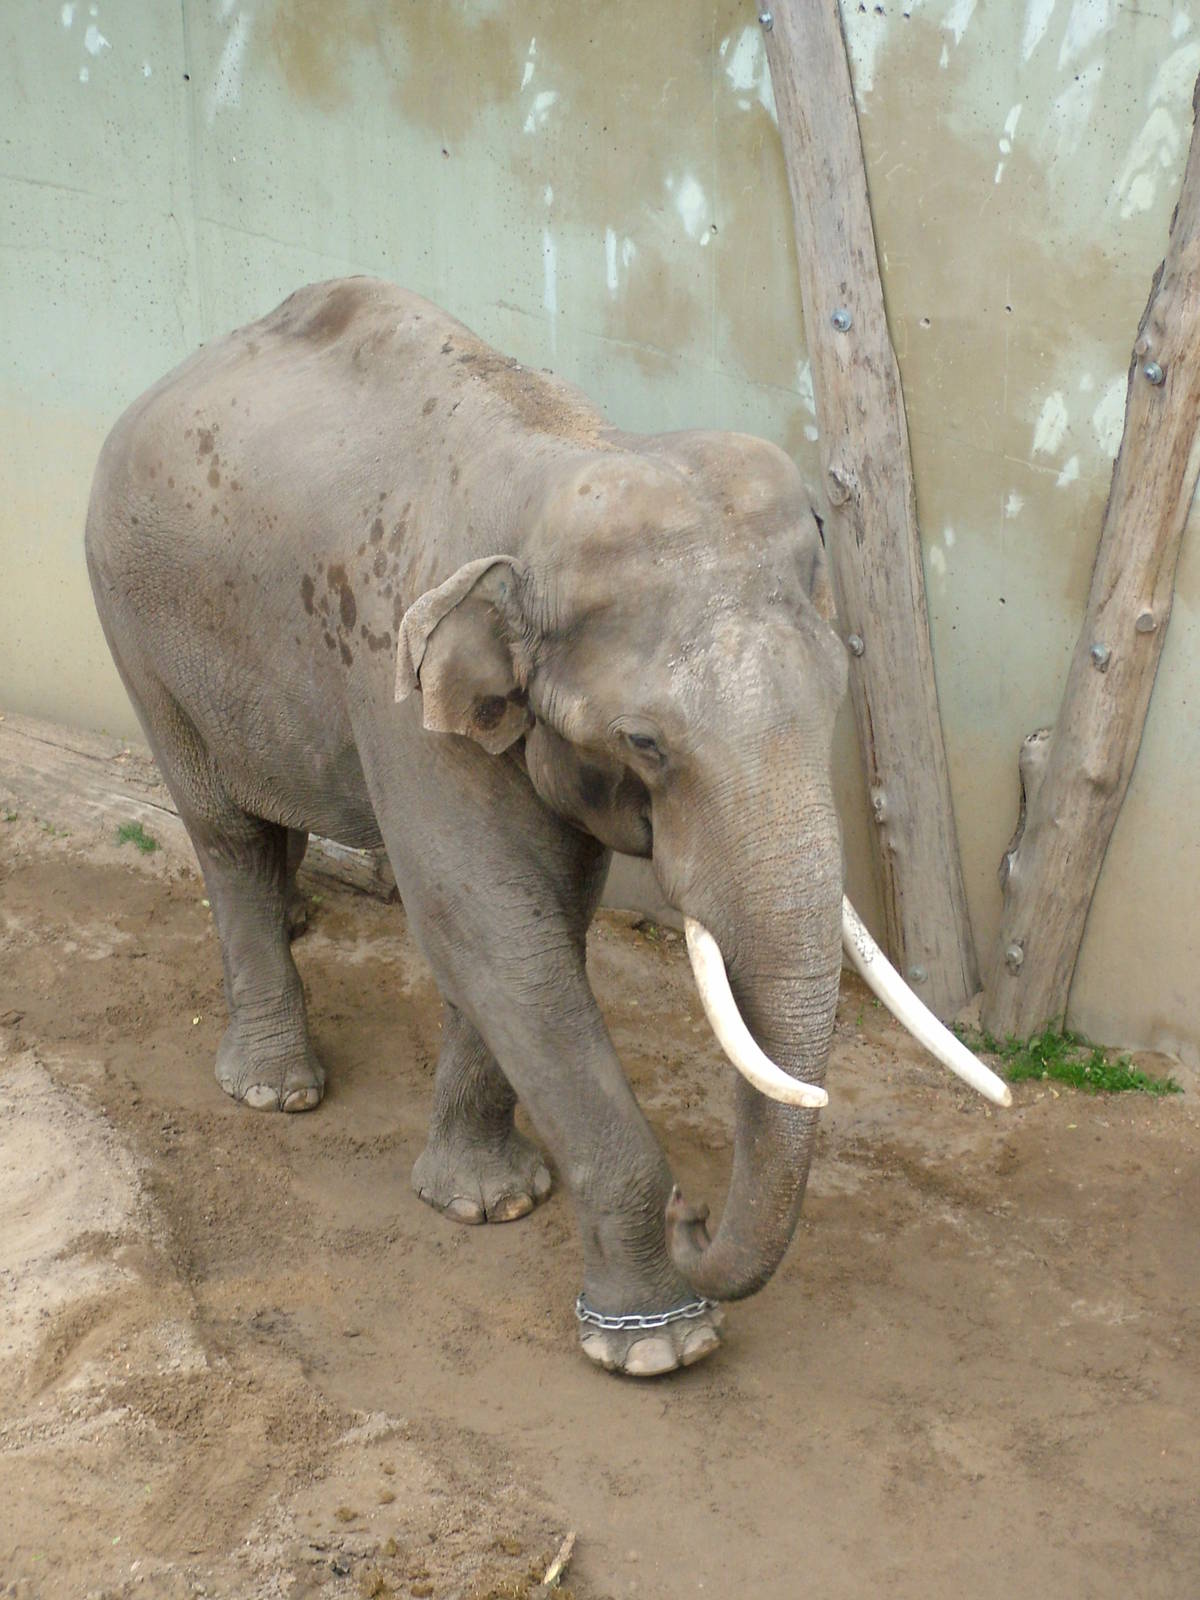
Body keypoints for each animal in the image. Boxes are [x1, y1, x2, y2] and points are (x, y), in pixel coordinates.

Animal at [86, 277, 1002, 1378]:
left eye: (836, 695)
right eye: (645, 741)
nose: (698, 1217)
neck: (566, 449)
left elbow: (542, 921)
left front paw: (490, 1202)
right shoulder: (398, 686)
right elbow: (491, 928)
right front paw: (660, 1344)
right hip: (136, 621)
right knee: (225, 831)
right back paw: (275, 1090)